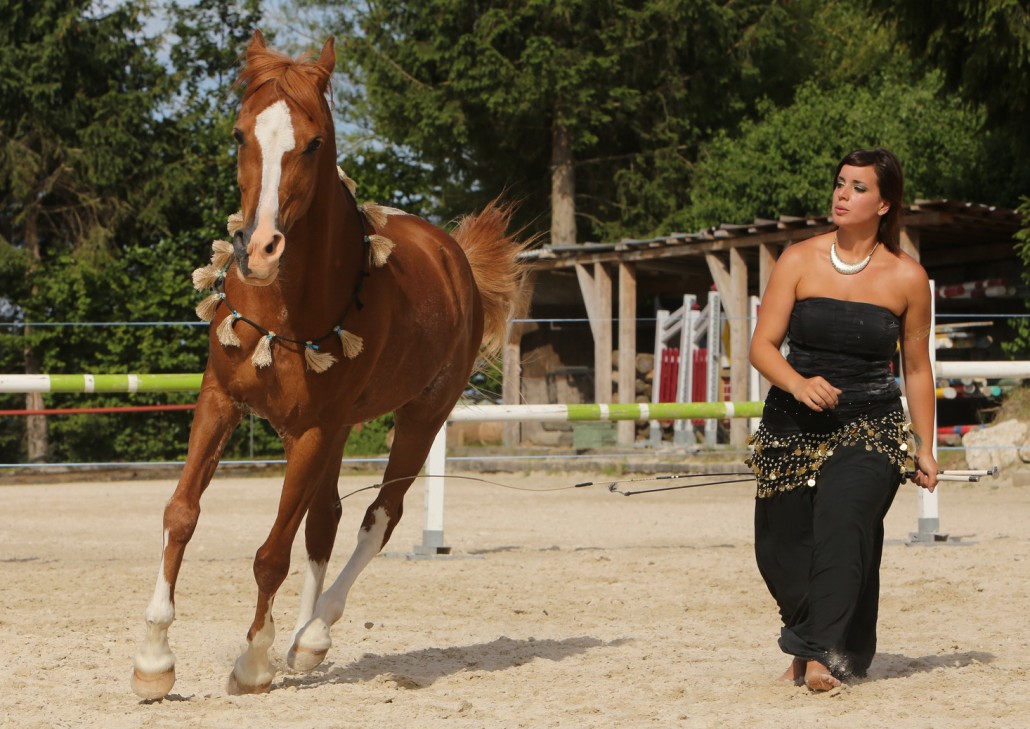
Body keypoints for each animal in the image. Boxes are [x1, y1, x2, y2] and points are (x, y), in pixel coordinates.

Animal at [130, 30, 528, 698]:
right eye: (239, 134)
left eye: (314, 142)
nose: (260, 249)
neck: (285, 304)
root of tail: (456, 258)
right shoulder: (221, 401)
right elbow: (181, 514)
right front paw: (155, 658)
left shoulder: (314, 432)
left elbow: (272, 553)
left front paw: (253, 661)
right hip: (338, 430)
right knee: (326, 520)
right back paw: (302, 637)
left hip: (419, 418)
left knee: (378, 518)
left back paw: (313, 636)